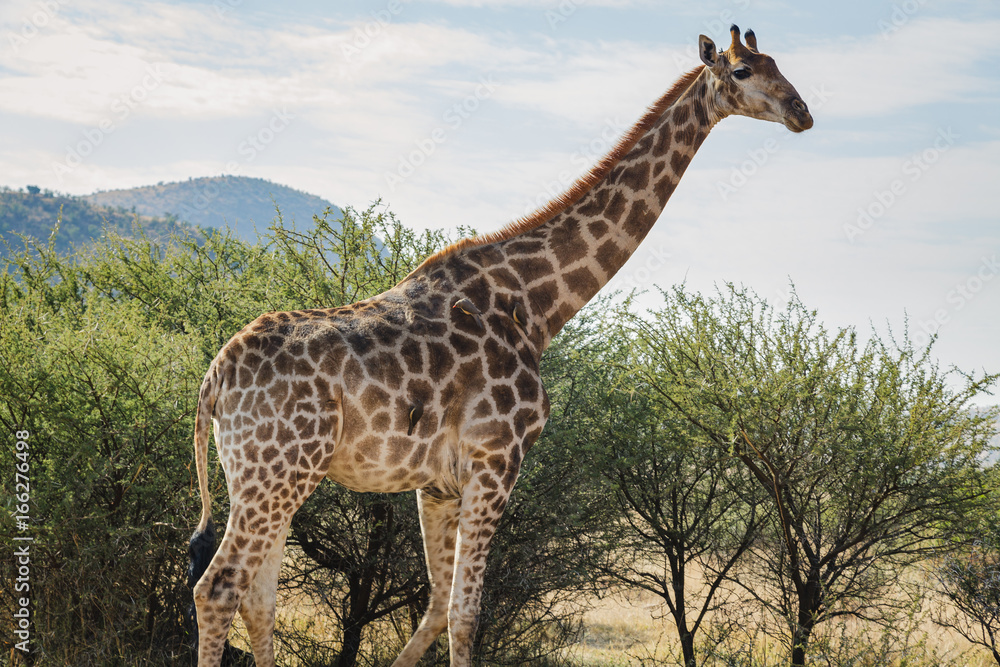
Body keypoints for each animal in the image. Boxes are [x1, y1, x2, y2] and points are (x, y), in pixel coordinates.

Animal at [188, 25, 812, 666]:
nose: (802, 112)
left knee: (257, 597)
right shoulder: (496, 459)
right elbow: (466, 614)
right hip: (279, 469)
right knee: (218, 588)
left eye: (777, 62)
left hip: (264, 476)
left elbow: (437, 607)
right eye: (741, 71)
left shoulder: (437, 484)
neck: (538, 306)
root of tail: (215, 378)